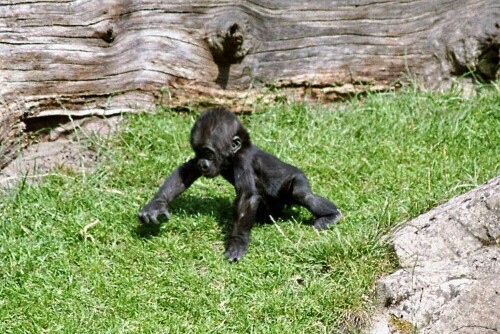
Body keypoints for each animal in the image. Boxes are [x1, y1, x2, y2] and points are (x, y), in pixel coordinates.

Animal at [138, 107, 340, 260]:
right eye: (198, 153)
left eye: (209, 153)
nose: (202, 164)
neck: (233, 155)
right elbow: (185, 172)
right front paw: (156, 205)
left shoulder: (244, 160)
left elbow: (246, 197)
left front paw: (237, 241)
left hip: (297, 177)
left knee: (303, 194)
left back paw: (332, 215)